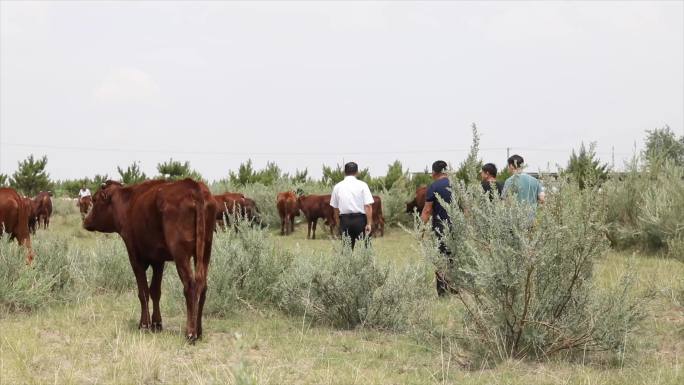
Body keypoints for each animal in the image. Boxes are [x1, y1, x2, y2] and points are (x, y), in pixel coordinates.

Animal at [83, 178, 216, 340]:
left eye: (95, 199)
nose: (85, 221)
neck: (128, 202)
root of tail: (193, 185)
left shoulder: (135, 257)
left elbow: (143, 292)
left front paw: (144, 324)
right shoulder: (158, 260)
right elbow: (155, 291)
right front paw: (157, 323)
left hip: (181, 254)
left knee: (190, 286)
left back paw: (190, 332)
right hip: (205, 251)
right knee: (202, 285)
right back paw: (199, 330)